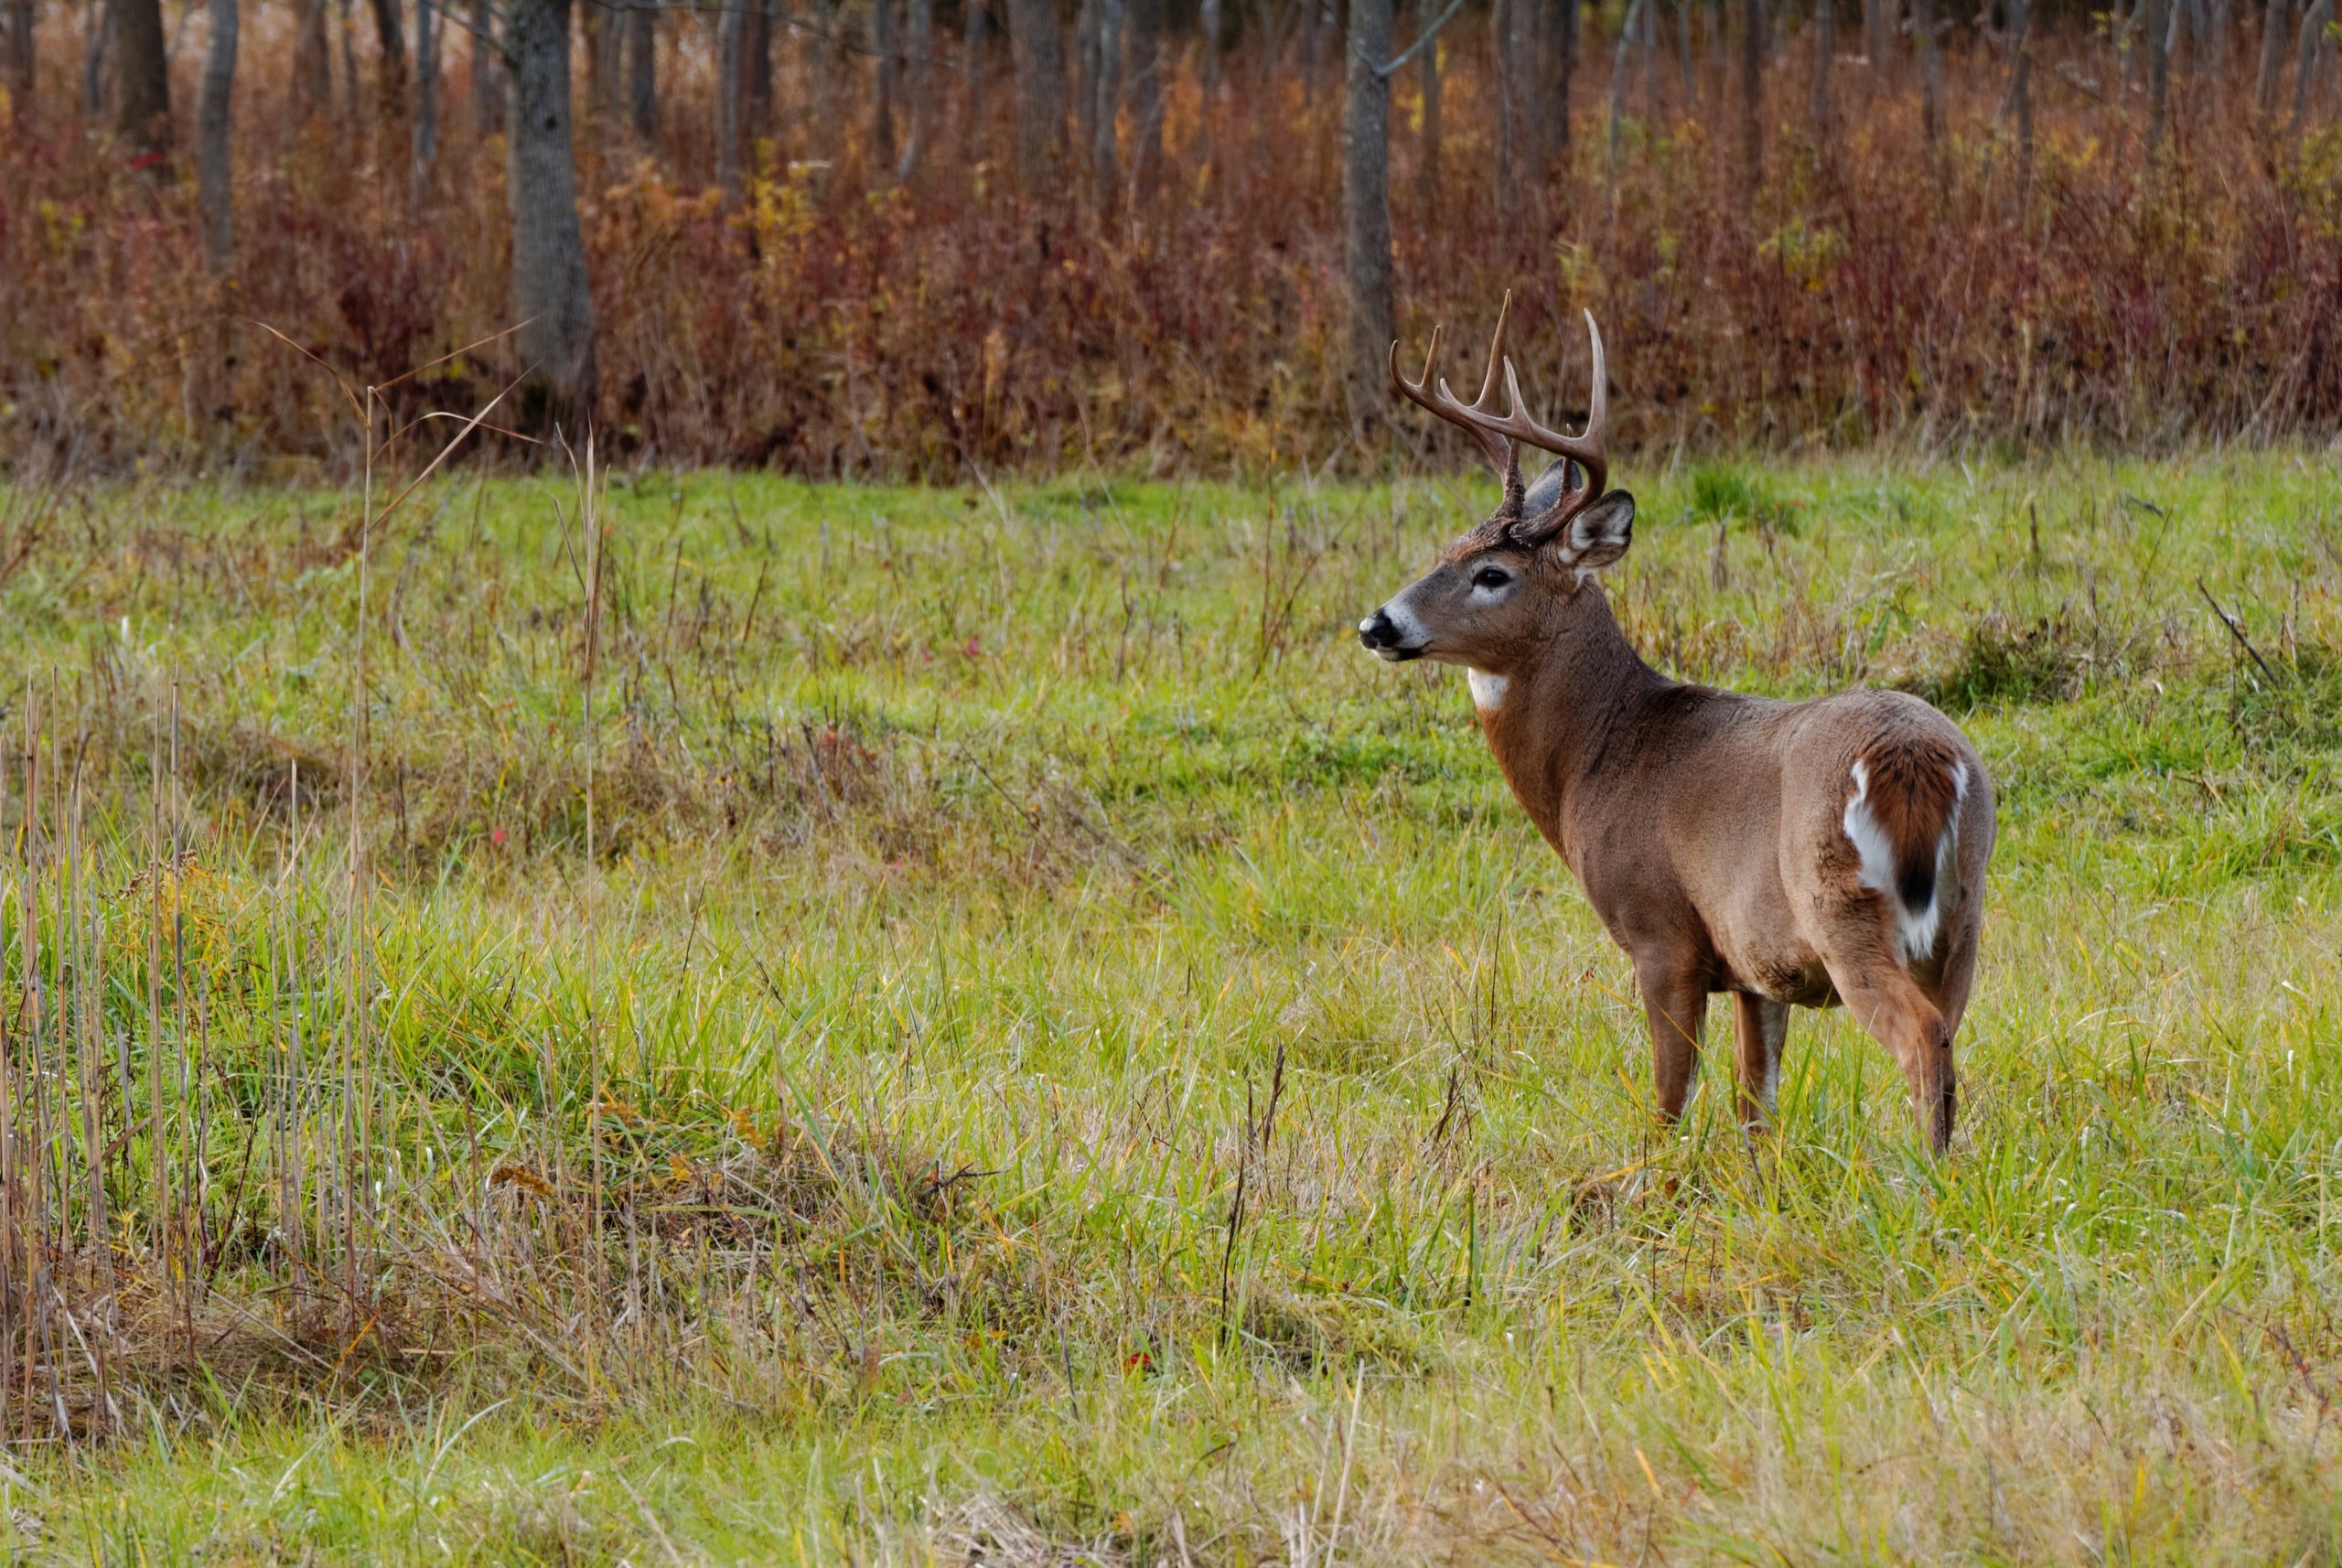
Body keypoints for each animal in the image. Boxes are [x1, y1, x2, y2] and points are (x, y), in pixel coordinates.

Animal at [1358, 296, 1994, 1151]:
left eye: (1493, 574)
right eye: (1447, 549)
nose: (1378, 624)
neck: (1597, 758)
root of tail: (1918, 759)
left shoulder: (1662, 935)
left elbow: (1668, 1104)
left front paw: (1651, 1181)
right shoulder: (1757, 966)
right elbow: (1755, 1105)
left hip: (1843, 909)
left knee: (1922, 1040)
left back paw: (1923, 1176)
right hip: (1965, 912)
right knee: (1951, 1037)